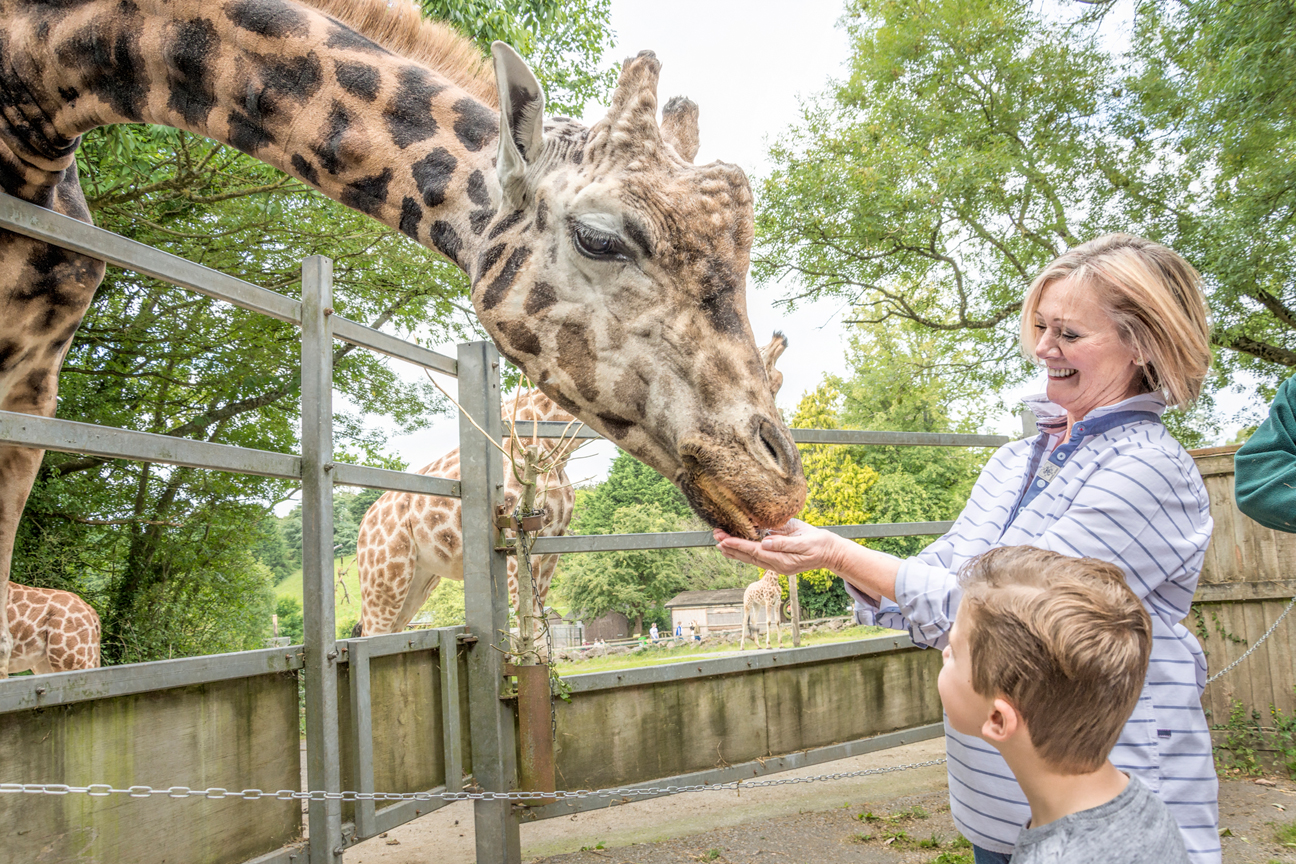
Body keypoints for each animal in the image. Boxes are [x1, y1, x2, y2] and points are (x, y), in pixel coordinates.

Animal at [0, 0, 808, 673]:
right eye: (599, 237)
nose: (775, 484)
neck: (40, 82)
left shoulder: (36, 375)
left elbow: (539, 633)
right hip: (388, 577)